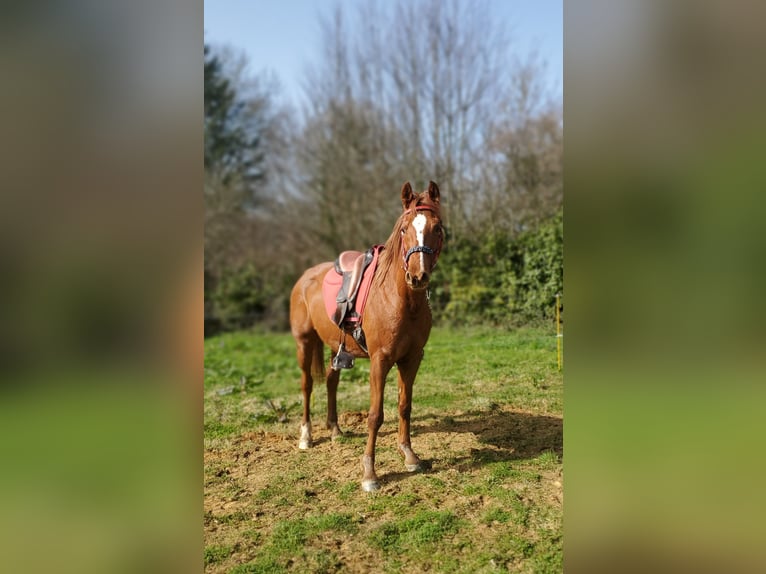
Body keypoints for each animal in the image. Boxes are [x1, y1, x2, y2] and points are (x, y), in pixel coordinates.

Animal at [289, 181, 444, 492]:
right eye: (404, 229)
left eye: (437, 227)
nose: (417, 277)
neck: (402, 300)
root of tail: (305, 278)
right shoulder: (379, 361)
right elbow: (375, 416)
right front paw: (370, 474)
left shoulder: (412, 359)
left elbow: (404, 406)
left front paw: (409, 456)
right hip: (304, 343)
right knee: (307, 385)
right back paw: (306, 436)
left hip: (336, 347)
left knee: (331, 381)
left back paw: (335, 429)